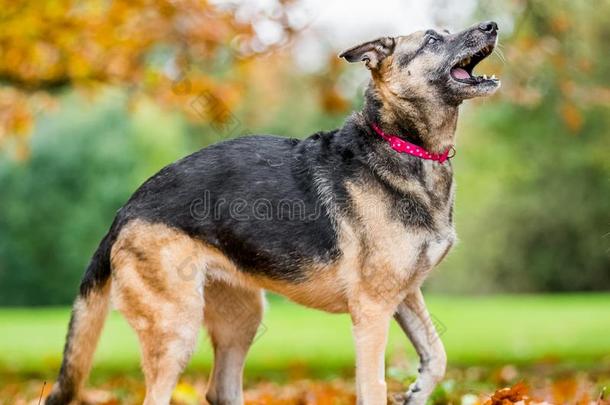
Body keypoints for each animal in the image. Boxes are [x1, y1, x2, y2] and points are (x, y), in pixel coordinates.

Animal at [47, 21, 498, 404]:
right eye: (432, 40)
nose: (492, 25)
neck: (402, 144)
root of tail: (125, 210)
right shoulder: (372, 310)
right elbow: (374, 385)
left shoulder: (405, 294)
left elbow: (436, 355)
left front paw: (417, 391)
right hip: (176, 329)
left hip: (242, 317)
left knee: (221, 389)